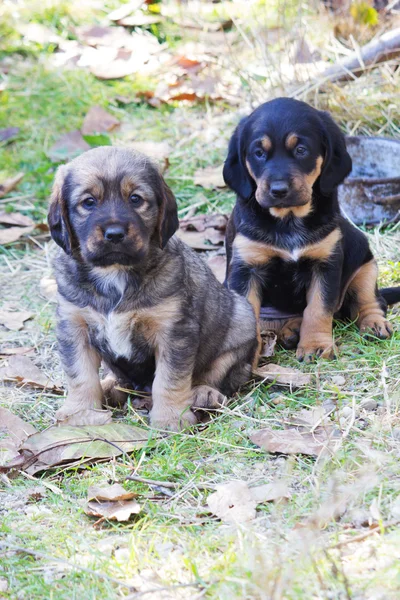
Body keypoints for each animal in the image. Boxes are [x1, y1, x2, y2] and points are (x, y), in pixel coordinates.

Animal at [48, 146, 258, 428]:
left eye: (136, 199)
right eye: (89, 202)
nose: (114, 234)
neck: (115, 274)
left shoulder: (173, 331)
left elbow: (170, 379)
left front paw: (171, 418)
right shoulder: (73, 325)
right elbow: (80, 375)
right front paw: (80, 413)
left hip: (241, 320)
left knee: (217, 371)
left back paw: (204, 393)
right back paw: (110, 386)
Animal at [223, 98, 398, 360]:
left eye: (301, 150)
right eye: (258, 153)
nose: (278, 190)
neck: (288, 219)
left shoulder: (325, 264)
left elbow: (318, 308)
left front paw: (315, 346)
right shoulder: (246, 268)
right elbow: (249, 315)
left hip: (366, 264)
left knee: (371, 300)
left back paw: (374, 324)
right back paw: (290, 331)